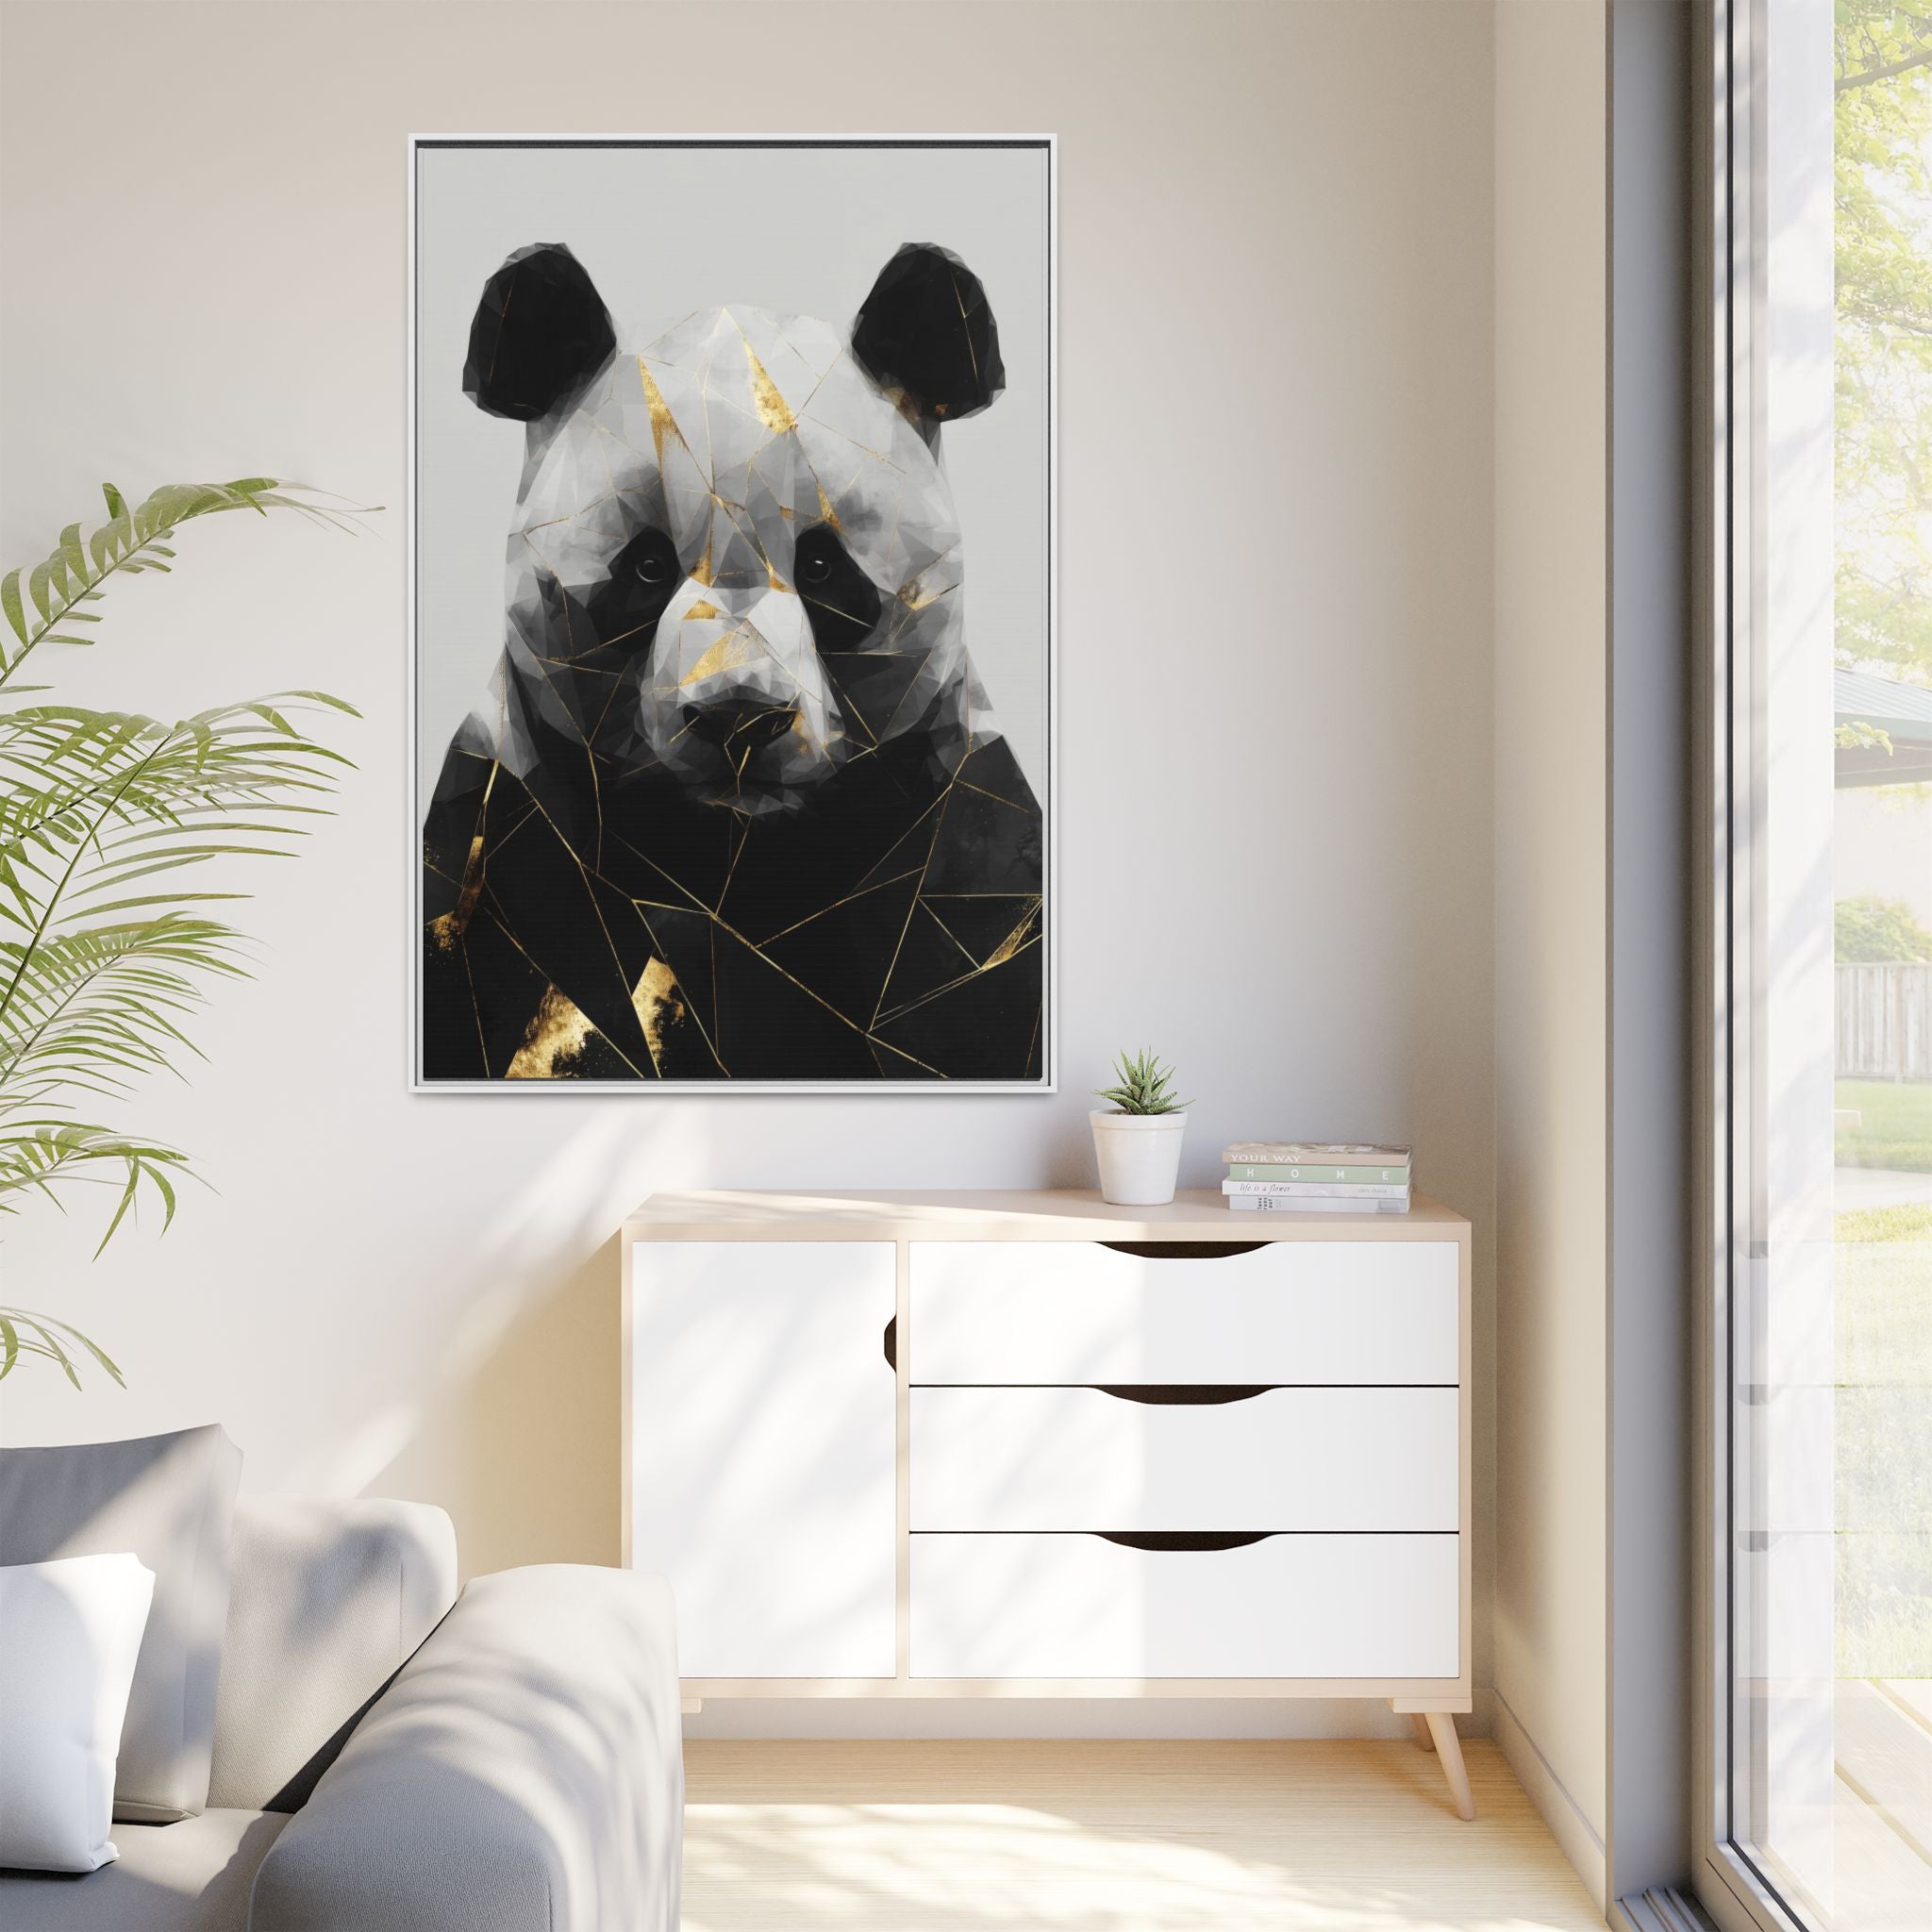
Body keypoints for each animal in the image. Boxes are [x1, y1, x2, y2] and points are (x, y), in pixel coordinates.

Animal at [420, 241, 1044, 1083]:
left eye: (823, 567)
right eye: (647, 566)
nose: (739, 718)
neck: (734, 863)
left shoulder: (960, 842)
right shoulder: (503, 836)